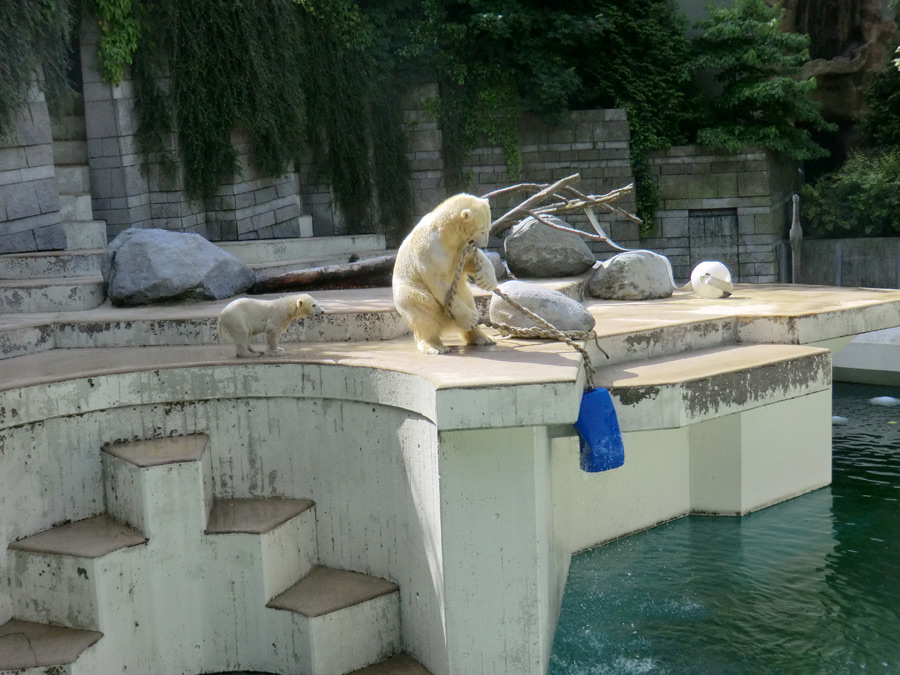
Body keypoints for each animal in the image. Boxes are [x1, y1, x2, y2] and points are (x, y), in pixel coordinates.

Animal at [392, 193, 498, 355]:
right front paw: (470, 319)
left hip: (462, 292)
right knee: (424, 312)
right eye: (482, 230)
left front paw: (487, 280)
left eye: (488, 228)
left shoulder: (461, 245)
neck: (445, 232)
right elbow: (439, 282)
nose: (484, 245)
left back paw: (484, 338)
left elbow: (471, 260)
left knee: (468, 299)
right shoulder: (430, 249)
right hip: (410, 294)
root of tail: (447, 324)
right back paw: (436, 347)